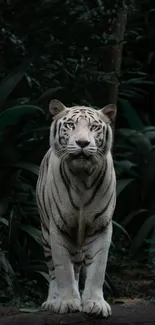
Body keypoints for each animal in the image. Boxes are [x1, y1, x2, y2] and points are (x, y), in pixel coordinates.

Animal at [36, 99, 116, 316]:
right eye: (71, 125)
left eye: (94, 127)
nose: (82, 143)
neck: (82, 178)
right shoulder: (58, 227)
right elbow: (63, 268)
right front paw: (66, 302)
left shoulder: (101, 226)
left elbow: (98, 269)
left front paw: (95, 303)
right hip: (45, 234)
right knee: (53, 271)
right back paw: (52, 301)